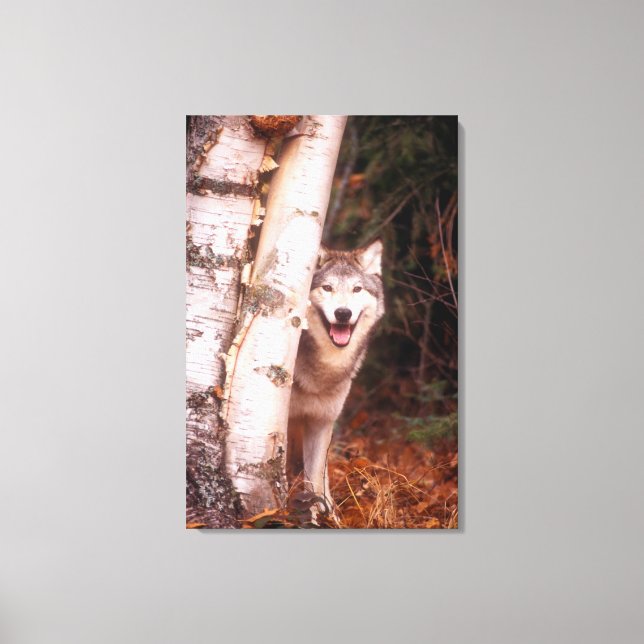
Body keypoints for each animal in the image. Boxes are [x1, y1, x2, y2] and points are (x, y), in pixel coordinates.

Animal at [287, 239, 385, 514]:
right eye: (327, 287)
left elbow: (315, 477)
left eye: (357, 289)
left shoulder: (322, 421)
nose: (343, 313)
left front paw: (320, 514)